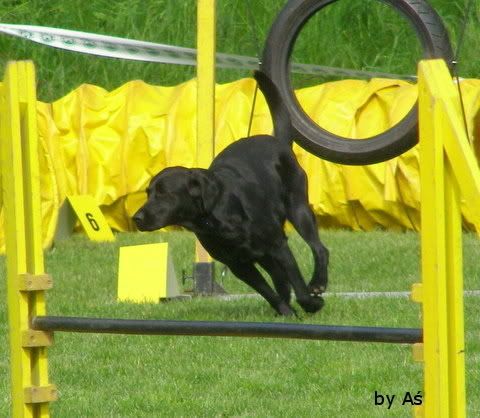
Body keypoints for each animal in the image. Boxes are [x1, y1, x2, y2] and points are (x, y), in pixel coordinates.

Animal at [133, 71, 329, 316]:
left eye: (164, 193)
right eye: (148, 193)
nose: (136, 218)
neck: (217, 218)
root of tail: (278, 141)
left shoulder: (278, 246)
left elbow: (297, 283)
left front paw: (311, 303)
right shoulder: (239, 265)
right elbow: (269, 292)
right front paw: (286, 311)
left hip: (299, 209)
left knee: (319, 248)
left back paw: (318, 283)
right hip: (264, 254)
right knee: (280, 279)